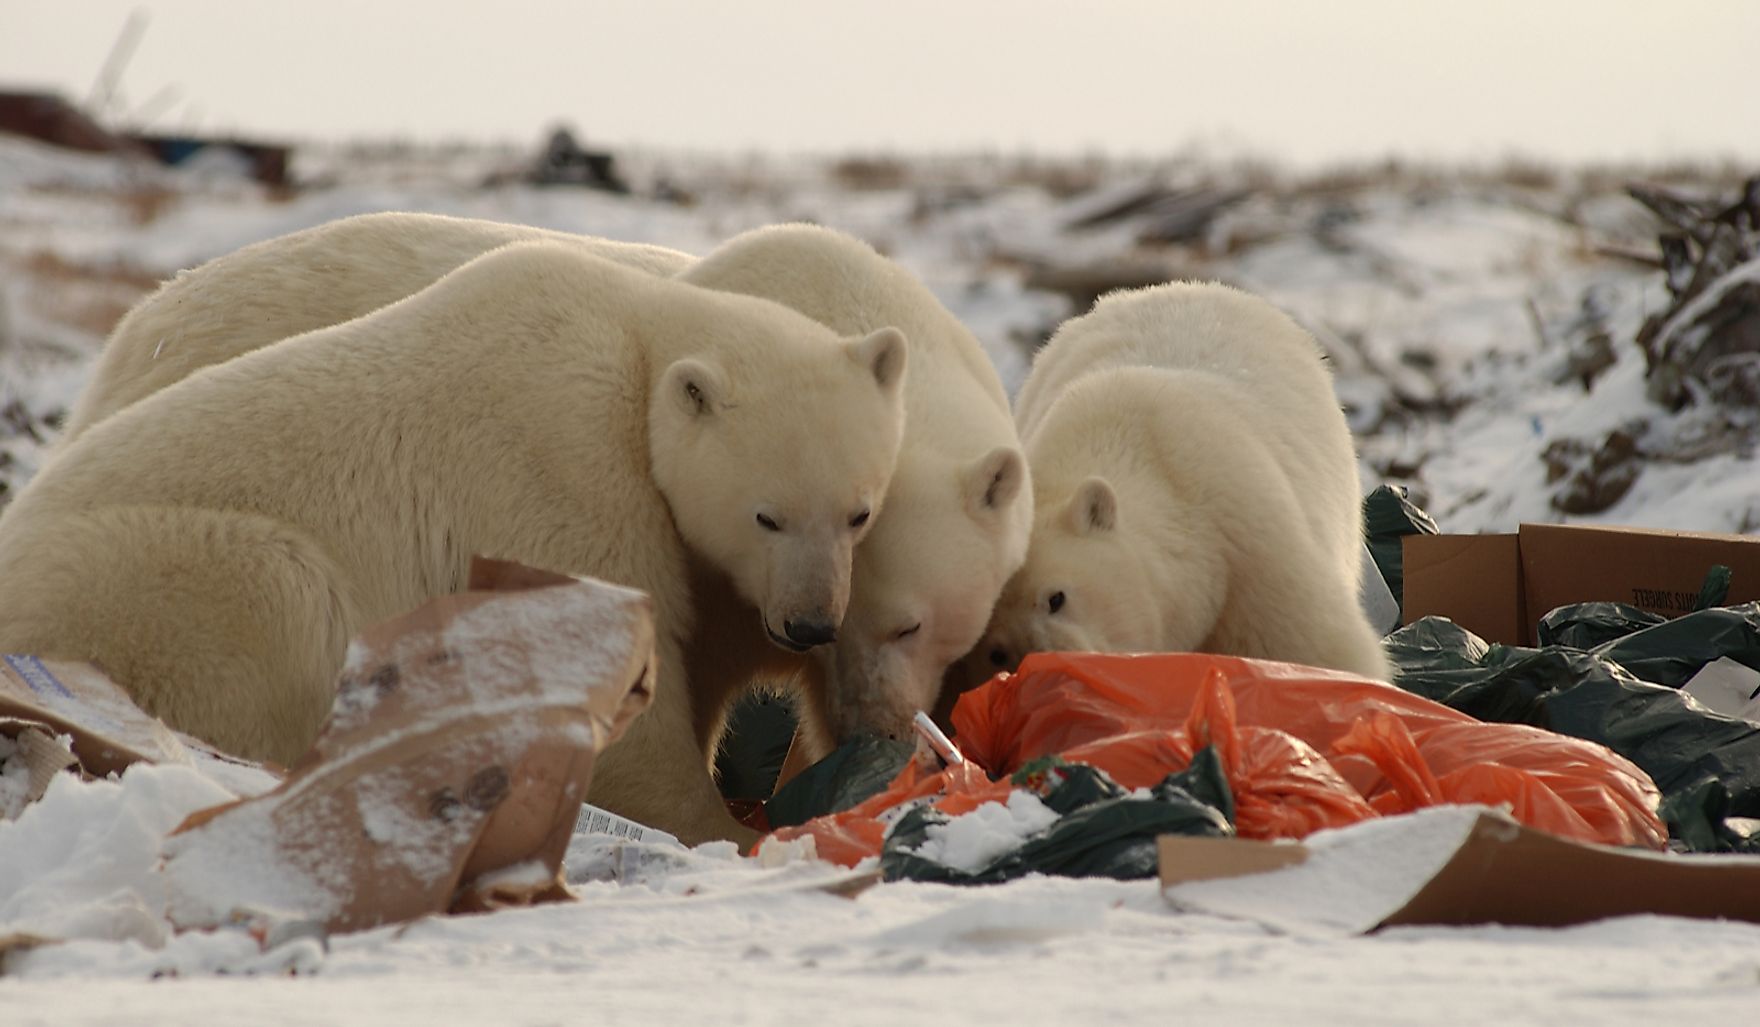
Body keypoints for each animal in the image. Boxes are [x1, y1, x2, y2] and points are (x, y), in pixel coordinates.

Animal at [0, 240, 908, 844]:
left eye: (859, 513)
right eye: (766, 516)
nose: (810, 622)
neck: (636, 334)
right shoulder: (562, 460)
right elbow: (596, 652)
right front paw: (728, 826)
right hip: (156, 574)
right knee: (280, 604)